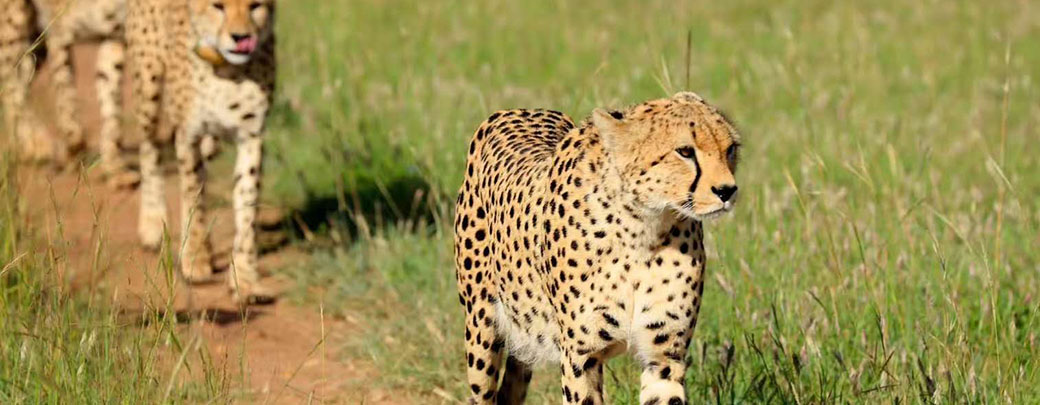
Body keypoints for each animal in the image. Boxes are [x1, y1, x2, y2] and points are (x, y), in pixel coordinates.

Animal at [127, 0, 276, 304]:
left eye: (255, 6)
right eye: (217, 6)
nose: (241, 37)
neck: (227, 72)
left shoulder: (251, 136)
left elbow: (247, 207)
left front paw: (244, 277)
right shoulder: (189, 134)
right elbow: (192, 194)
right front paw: (195, 259)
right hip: (148, 86)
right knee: (150, 150)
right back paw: (152, 222)